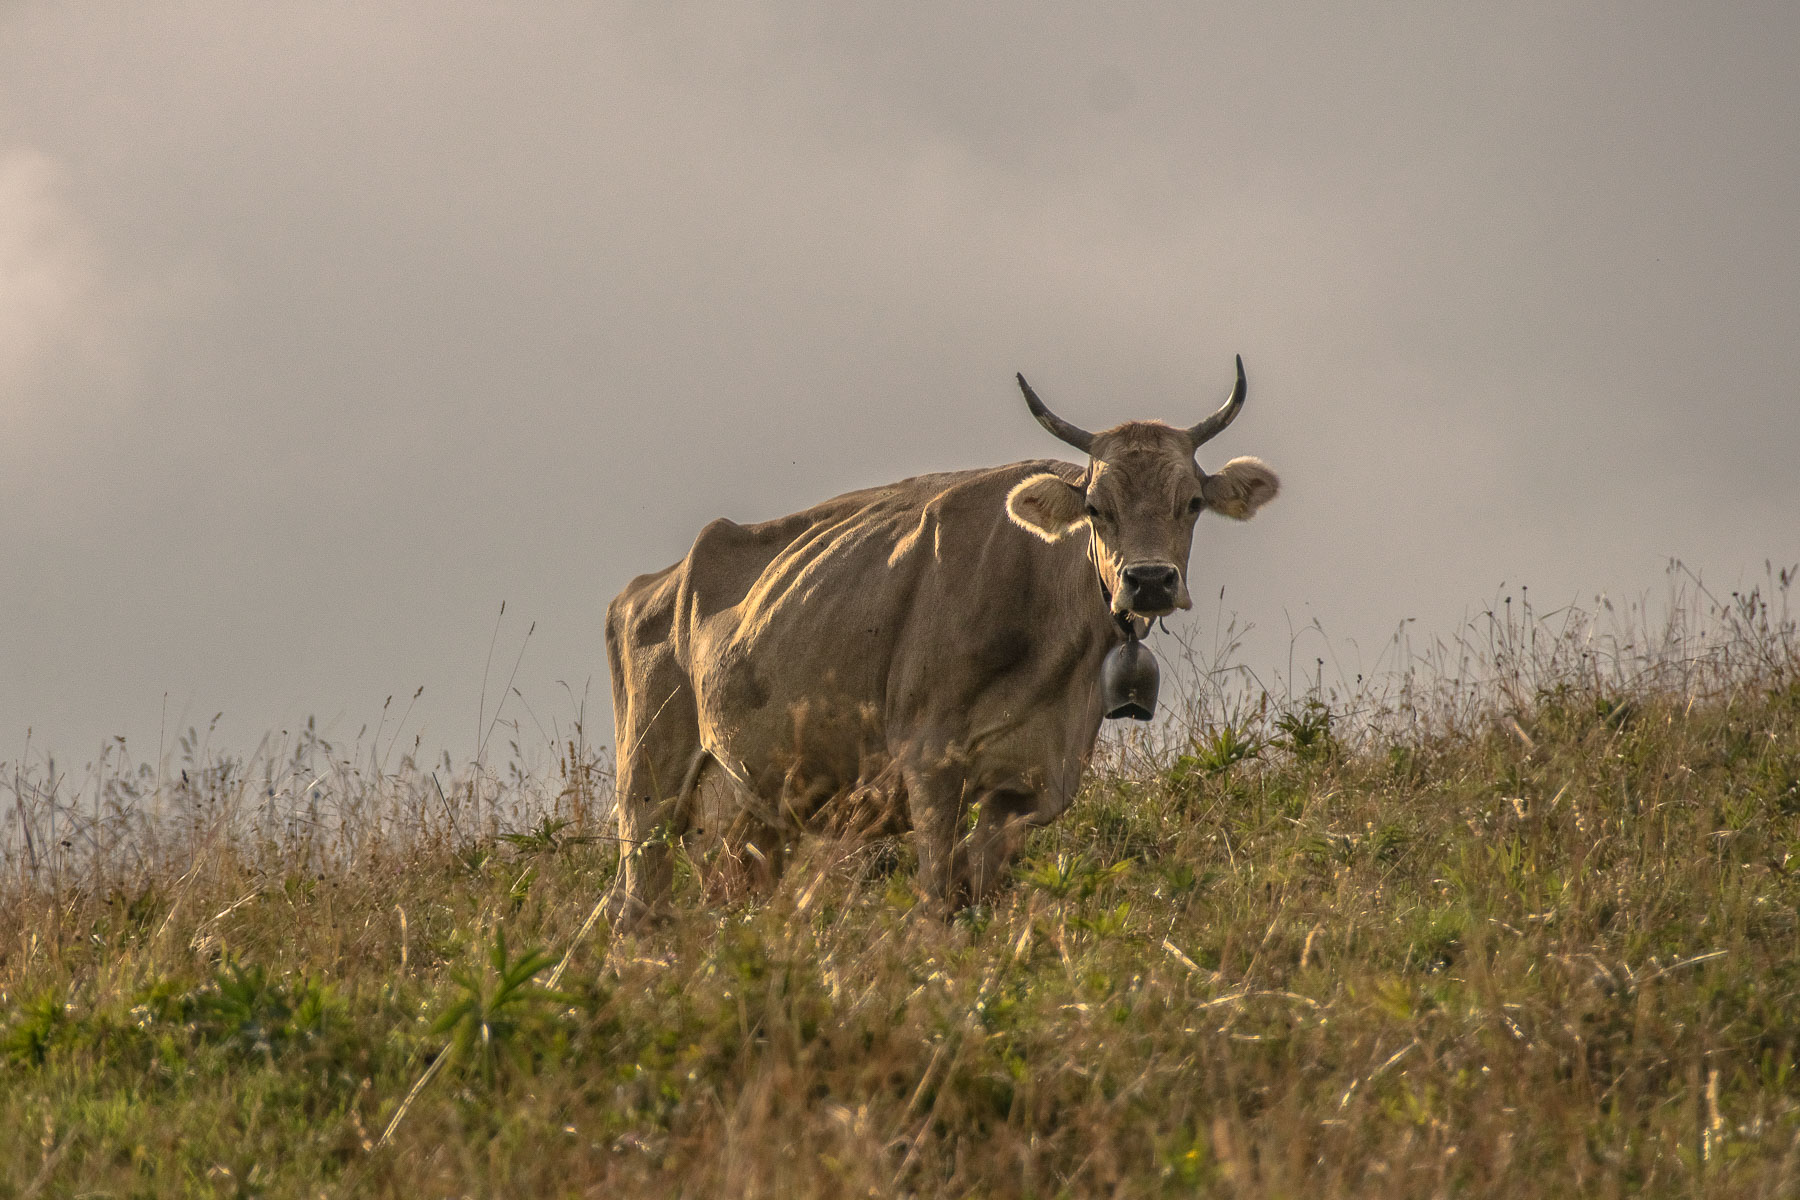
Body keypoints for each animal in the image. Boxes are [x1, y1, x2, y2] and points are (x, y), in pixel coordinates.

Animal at [604, 357, 1279, 923]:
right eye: (1095, 507)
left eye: (1192, 502)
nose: (1149, 581)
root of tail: (647, 586)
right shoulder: (929, 761)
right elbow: (935, 895)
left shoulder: (1036, 779)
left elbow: (974, 886)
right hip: (648, 787)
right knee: (635, 907)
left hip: (750, 808)